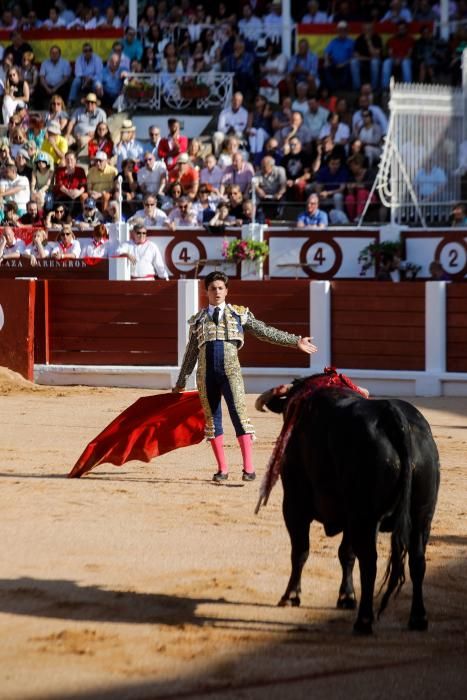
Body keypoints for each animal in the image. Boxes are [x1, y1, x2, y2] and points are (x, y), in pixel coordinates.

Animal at [258, 378, 440, 636]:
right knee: (417, 561)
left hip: (366, 516)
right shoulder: (350, 516)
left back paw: (364, 621)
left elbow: (301, 550)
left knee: (370, 563)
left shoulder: (294, 504)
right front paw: (346, 596)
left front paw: (291, 595)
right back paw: (418, 618)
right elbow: (346, 553)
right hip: (422, 516)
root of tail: (392, 414)